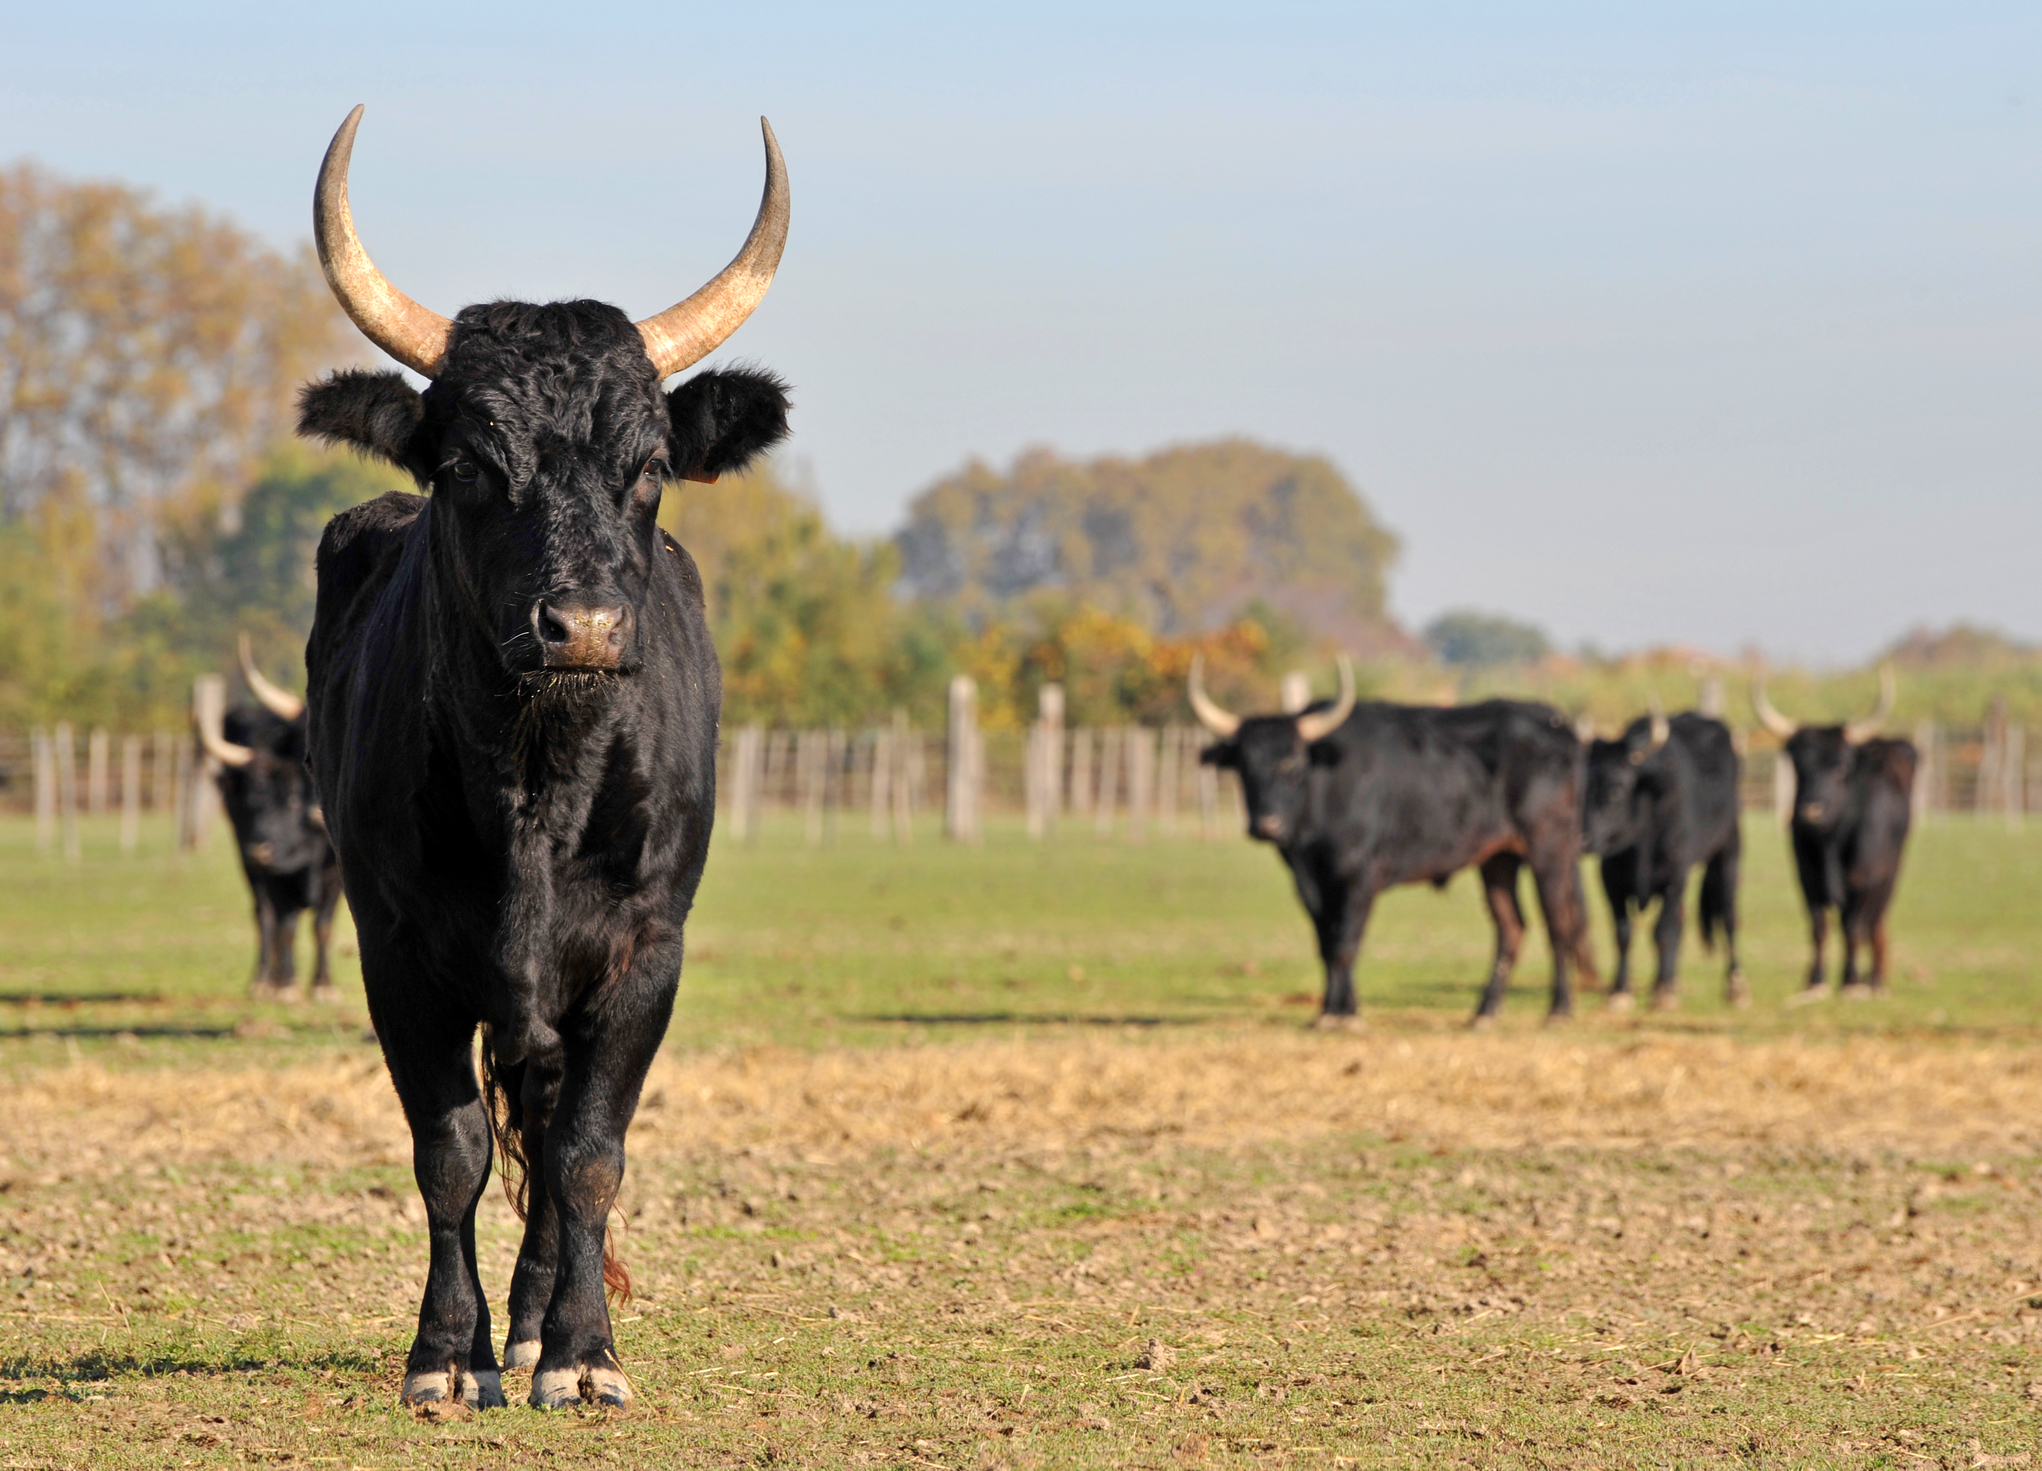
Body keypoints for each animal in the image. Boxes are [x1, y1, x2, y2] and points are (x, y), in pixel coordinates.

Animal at [191, 641, 343, 1001]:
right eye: (250, 801)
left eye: (290, 798)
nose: (260, 848)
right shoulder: (274, 871)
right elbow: (283, 924)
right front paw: (285, 984)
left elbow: (323, 925)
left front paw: (323, 985)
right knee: (264, 917)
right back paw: (264, 980)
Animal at [296, 106, 788, 1413]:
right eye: (468, 466)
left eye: (650, 465)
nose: (585, 627)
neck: (537, 783)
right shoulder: (395, 950)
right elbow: (451, 1149)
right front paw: (443, 1355)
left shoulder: (642, 952)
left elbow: (586, 1154)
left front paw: (578, 1353)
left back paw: (532, 1329)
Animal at [1192, 657, 1592, 1021]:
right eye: (1245, 766)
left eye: (1292, 764)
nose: (1266, 825)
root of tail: (1556, 724)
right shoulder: (1307, 881)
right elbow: (1326, 942)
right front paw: (1331, 1009)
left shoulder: (1361, 876)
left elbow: (1346, 942)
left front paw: (1344, 1015)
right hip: (1498, 859)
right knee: (1511, 927)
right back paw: (1486, 1011)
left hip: (1549, 850)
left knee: (1559, 923)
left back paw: (1559, 1008)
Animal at [1584, 702, 1747, 1005]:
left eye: (1617, 788)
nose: (1583, 837)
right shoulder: (1610, 879)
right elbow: (1623, 932)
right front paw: (1620, 990)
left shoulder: (1675, 877)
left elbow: (1663, 931)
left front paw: (1661, 992)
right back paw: (1674, 981)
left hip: (1728, 853)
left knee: (1729, 917)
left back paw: (1736, 986)